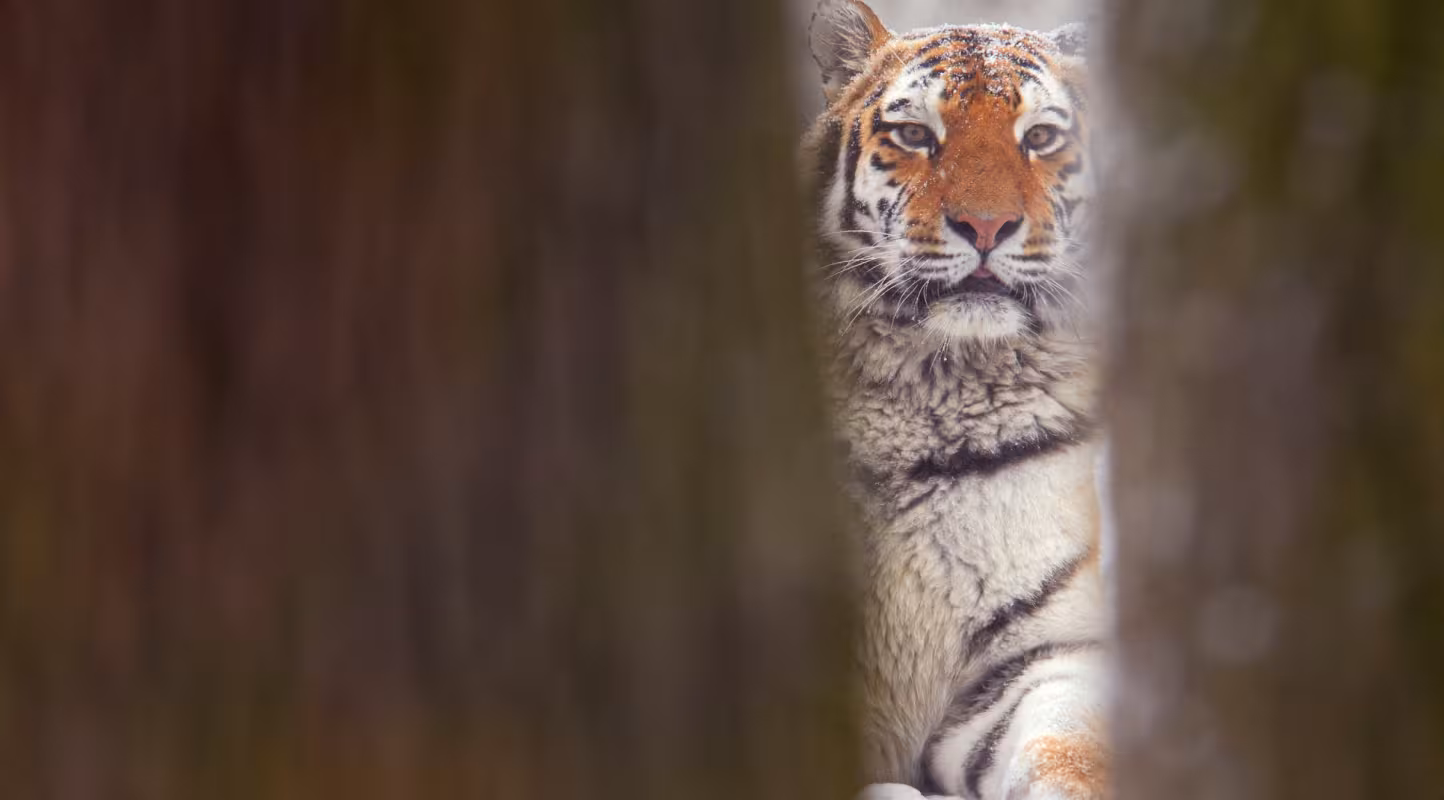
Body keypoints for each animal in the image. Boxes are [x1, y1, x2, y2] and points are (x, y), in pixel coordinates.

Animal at [801, 2, 1107, 799]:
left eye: (1040, 137)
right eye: (915, 134)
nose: (986, 227)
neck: (936, 391)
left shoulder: (1038, 654)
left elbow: (1070, 747)